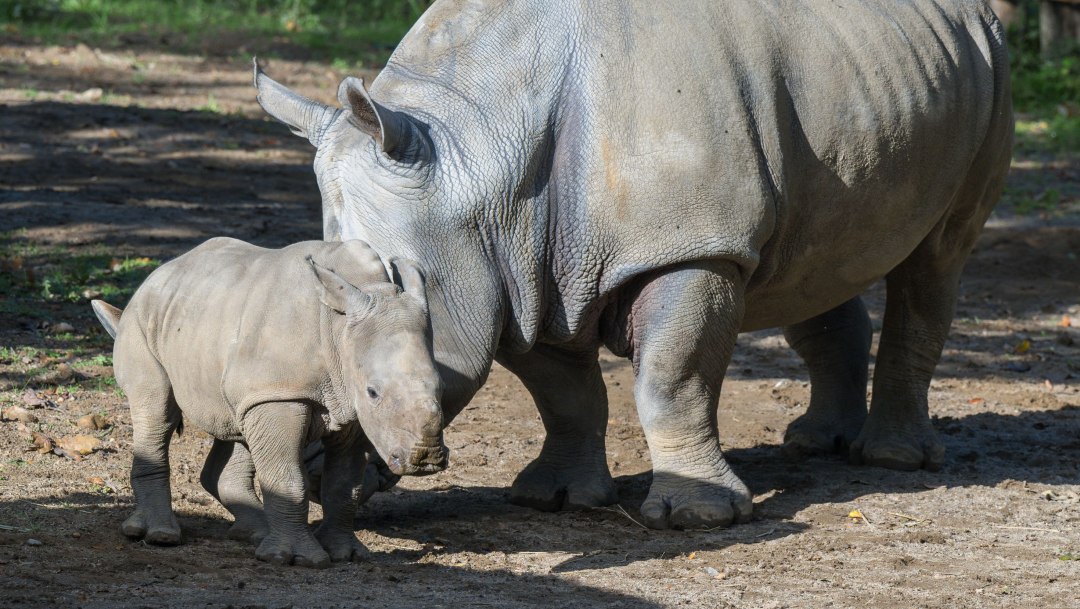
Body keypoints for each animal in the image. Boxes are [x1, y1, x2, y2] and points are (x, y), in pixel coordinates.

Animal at [91, 237, 445, 567]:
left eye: (441, 387)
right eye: (373, 391)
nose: (426, 458)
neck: (339, 328)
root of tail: (156, 276)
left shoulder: (350, 406)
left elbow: (344, 485)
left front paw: (347, 554)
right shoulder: (281, 393)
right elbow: (288, 478)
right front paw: (297, 558)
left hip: (212, 326)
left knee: (236, 424)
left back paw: (256, 535)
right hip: (142, 323)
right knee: (156, 412)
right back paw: (160, 536)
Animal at [254, 0, 1013, 530]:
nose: (310, 455)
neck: (474, 151)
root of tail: (975, 11)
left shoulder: (693, 244)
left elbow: (670, 378)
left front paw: (697, 517)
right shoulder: (516, 270)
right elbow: (563, 391)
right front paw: (554, 498)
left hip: (993, 65)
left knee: (935, 261)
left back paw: (891, 459)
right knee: (817, 264)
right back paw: (815, 443)